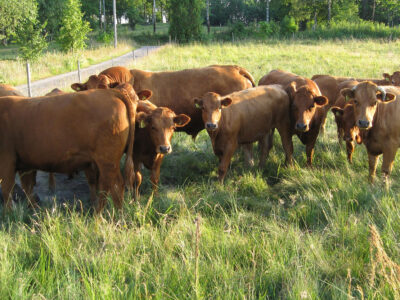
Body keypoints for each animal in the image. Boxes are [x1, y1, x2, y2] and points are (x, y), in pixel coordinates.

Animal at [0, 83, 142, 212]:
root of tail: (111, 93)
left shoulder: (6, 162)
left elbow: (7, 191)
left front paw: (9, 215)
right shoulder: (25, 166)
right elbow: (27, 188)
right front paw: (34, 211)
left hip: (107, 160)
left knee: (113, 186)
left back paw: (103, 217)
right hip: (109, 162)